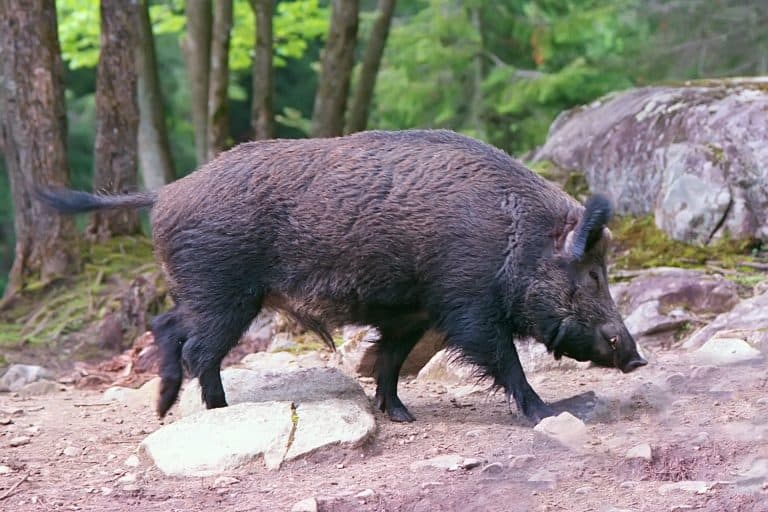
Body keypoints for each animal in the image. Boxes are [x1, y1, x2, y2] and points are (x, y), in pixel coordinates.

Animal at [36, 129, 646, 423]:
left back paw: (181, 409)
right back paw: (214, 410)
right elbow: (505, 361)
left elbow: (390, 361)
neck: (513, 236)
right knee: (193, 345)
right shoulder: (467, 304)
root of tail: (164, 193)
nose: (637, 357)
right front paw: (546, 412)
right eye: (592, 274)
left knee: (172, 330)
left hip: (211, 292)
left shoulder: (411, 313)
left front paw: (402, 417)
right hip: (223, 291)